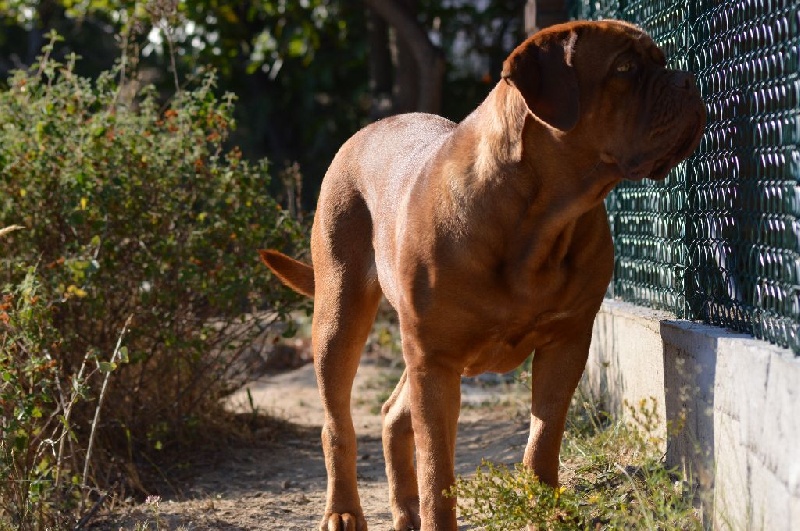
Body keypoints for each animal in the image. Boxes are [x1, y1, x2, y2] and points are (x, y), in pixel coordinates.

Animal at [260, 20, 704, 531]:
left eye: (661, 61)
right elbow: (438, 470)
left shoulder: (566, 342)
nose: (689, 81)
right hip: (340, 316)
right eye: (625, 68)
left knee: (393, 413)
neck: (541, 220)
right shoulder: (435, 360)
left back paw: (404, 510)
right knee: (338, 425)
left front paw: (545, 511)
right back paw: (344, 511)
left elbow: (543, 439)